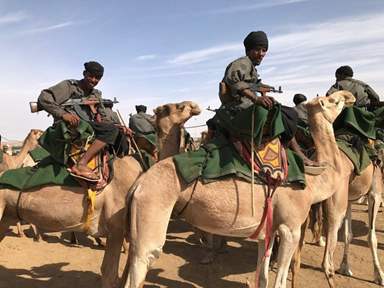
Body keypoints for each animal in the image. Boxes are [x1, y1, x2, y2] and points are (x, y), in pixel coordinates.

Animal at [121, 90, 356, 288]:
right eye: (333, 100)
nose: (350, 96)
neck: (314, 182)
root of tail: (138, 185)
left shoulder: (269, 228)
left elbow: (263, 277)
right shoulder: (291, 228)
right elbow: (279, 282)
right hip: (151, 216)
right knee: (143, 261)